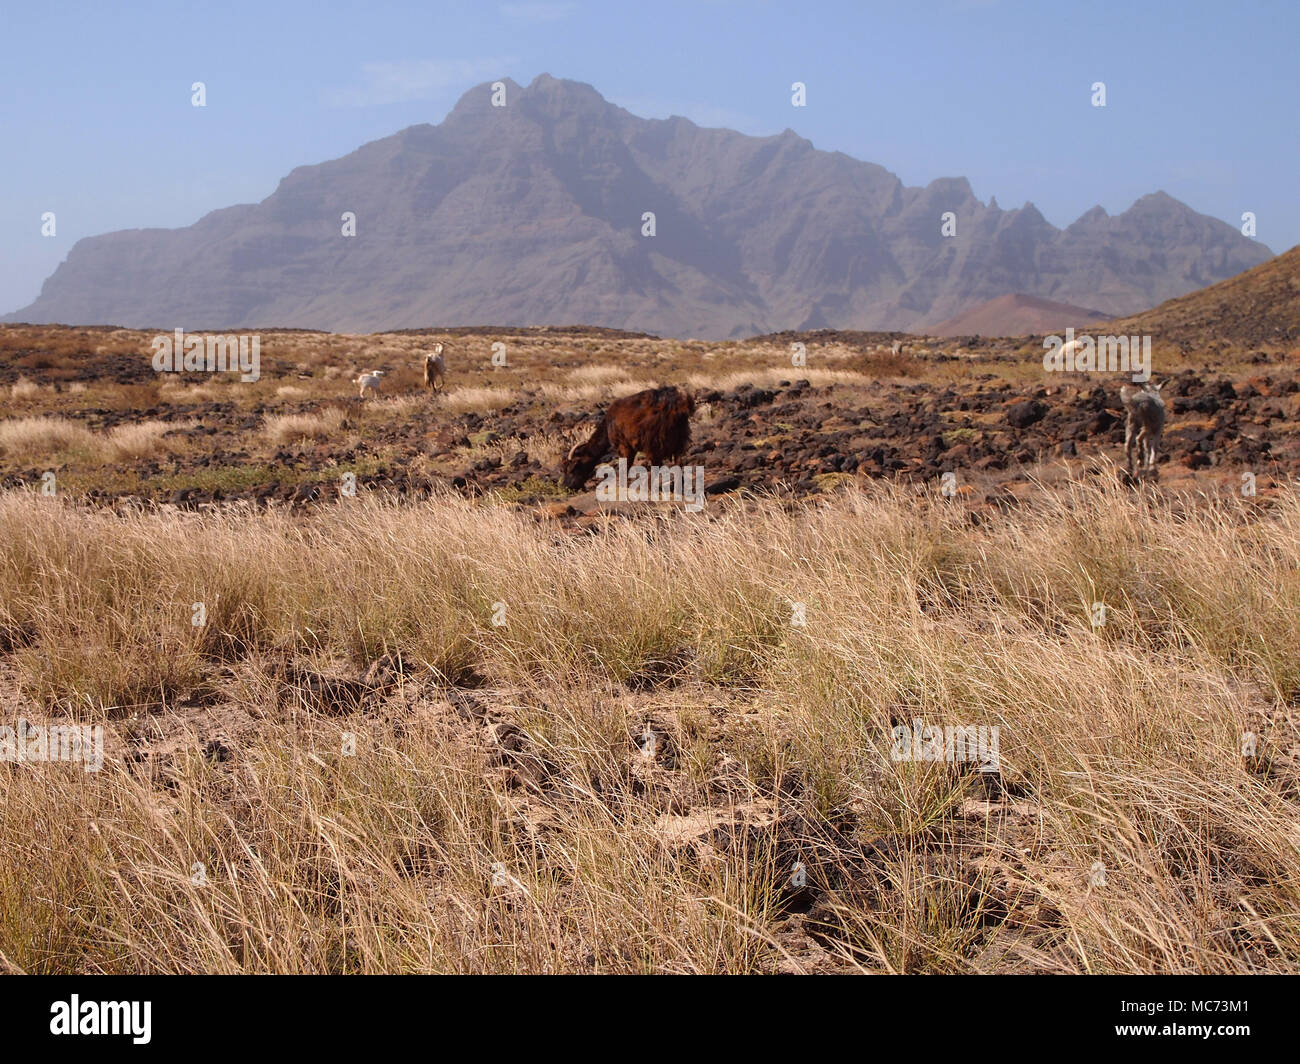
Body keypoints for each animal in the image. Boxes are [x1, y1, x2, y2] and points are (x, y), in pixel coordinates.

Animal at [564, 385, 696, 489]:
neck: (608, 423)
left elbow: (625, 465)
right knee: (678, 461)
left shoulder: (624, 446)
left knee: (657, 464)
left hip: (654, 442)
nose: (567, 486)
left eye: (573, 467)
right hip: (681, 437)